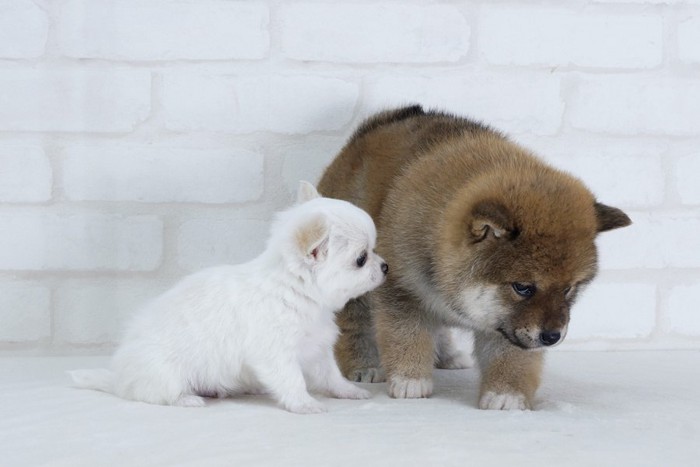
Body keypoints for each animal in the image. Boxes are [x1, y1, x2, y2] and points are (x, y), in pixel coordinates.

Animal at [71, 181, 388, 414]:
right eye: (361, 259)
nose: (385, 266)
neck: (294, 291)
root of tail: (119, 378)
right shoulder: (276, 354)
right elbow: (292, 380)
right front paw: (305, 404)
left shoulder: (318, 351)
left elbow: (332, 377)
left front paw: (349, 391)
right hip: (164, 374)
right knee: (154, 394)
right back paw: (187, 399)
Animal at [320, 105, 632, 410]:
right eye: (523, 288)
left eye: (569, 289)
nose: (552, 336)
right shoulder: (403, 291)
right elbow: (407, 336)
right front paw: (411, 379)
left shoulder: (509, 326)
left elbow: (511, 356)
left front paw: (507, 394)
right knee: (354, 324)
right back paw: (364, 365)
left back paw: (446, 356)